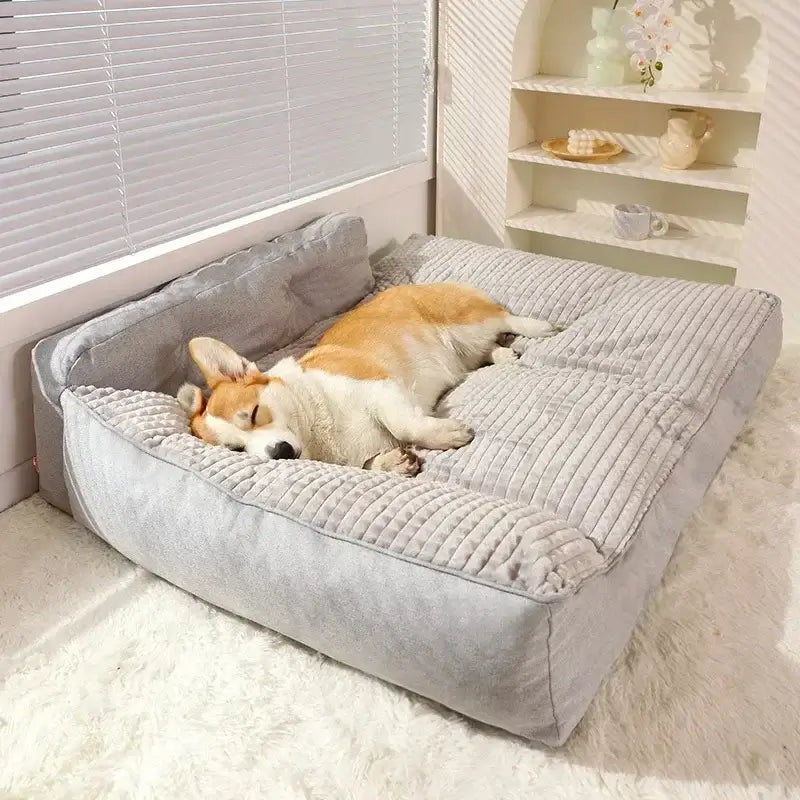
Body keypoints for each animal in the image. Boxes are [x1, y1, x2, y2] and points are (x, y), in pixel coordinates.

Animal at [179, 282, 560, 476]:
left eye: (256, 414)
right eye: (236, 449)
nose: (280, 453)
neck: (317, 433)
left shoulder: (379, 387)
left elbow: (407, 425)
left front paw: (448, 435)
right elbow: (372, 464)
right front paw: (394, 463)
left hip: (467, 321)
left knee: (504, 318)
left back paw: (539, 327)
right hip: (467, 347)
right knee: (485, 350)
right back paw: (503, 355)